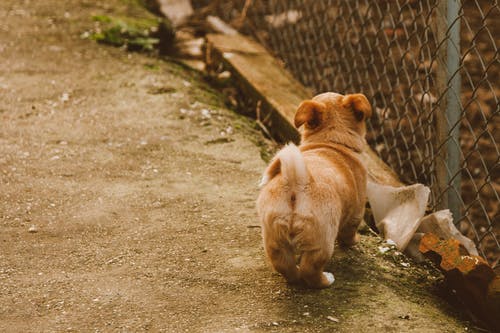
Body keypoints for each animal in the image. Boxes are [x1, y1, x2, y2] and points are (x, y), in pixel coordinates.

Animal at [258, 91, 372, 288]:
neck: (331, 141)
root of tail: (297, 181)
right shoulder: (356, 213)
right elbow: (349, 233)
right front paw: (354, 242)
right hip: (323, 241)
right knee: (310, 270)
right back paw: (325, 280)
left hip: (274, 238)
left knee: (285, 266)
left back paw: (294, 277)